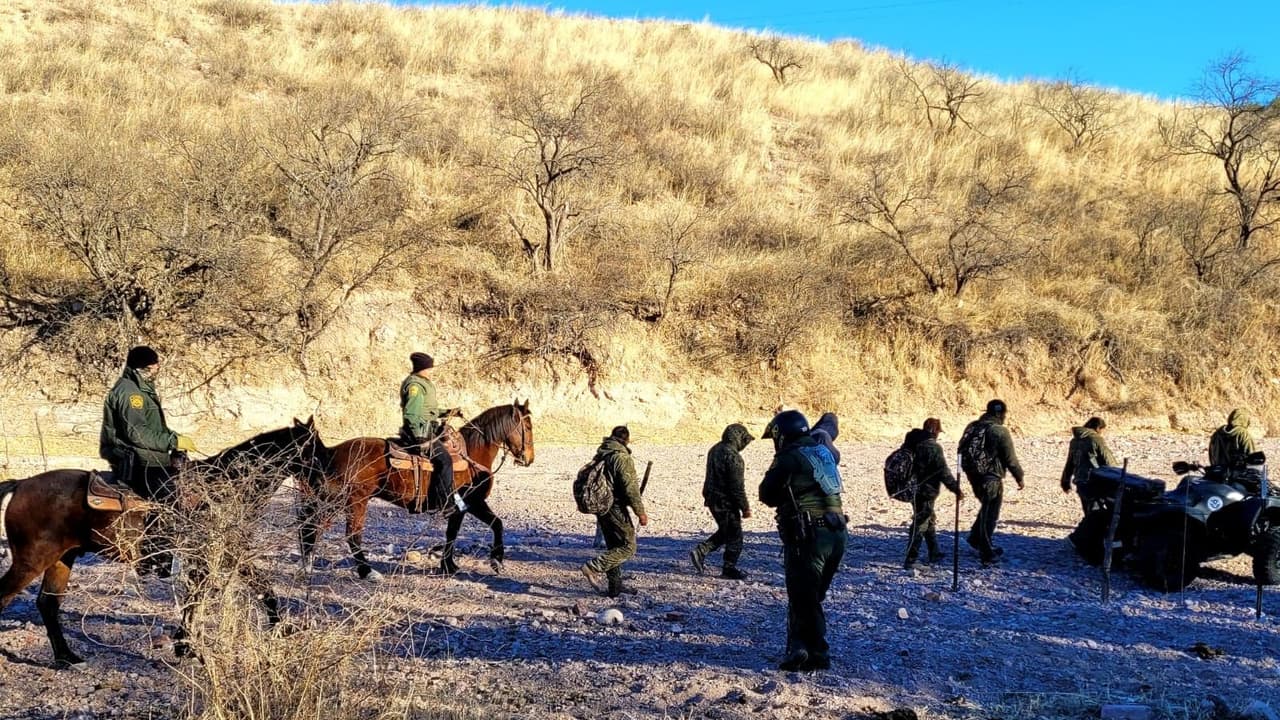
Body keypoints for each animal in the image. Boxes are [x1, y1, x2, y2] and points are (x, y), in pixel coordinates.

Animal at [0, 418, 327, 668]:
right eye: (316, 452)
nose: (325, 485)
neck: (224, 488)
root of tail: (21, 484)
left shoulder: (227, 556)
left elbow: (254, 590)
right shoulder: (217, 555)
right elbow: (212, 596)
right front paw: (187, 646)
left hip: (61, 560)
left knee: (48, 605)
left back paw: (67, 657)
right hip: (31, 561)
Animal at [299, 401, 534, 580]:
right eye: (528, 427)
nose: (529, 459)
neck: (472, 454)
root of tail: (332, 452)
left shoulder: (464, 507)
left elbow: (455, 532)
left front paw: (449, 565)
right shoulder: (471, 503)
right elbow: (494, 524)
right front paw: (496, 560)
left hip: (335, 501)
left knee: (310, 526)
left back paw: (308, 563)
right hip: (354, 501)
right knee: (350, 535)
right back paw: (367, 571)